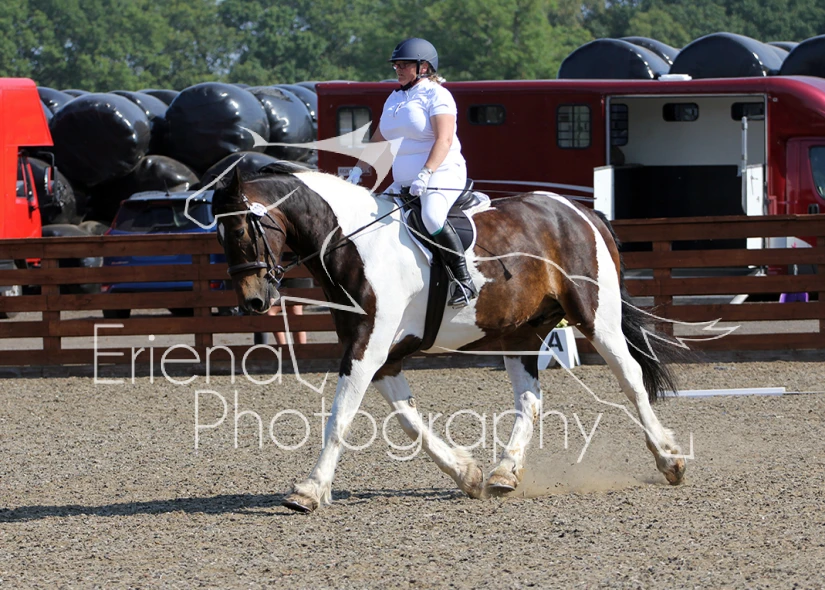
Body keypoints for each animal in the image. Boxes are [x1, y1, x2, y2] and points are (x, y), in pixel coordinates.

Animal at [212, 162, 686, 513]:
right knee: (529, 400)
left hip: (596, 319)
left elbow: (340, 417)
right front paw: (467, 474)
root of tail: (580, 212)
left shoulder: (367, 349)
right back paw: (503, 473)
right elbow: (409, 422)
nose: (253, 302)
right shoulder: (384, 358)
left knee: (630, 378)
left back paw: (670, 459)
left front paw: (309, 490)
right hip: (523, 331)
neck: (354, 244)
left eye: (240, 231)